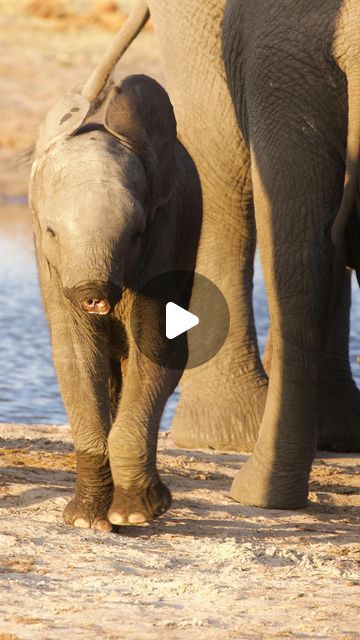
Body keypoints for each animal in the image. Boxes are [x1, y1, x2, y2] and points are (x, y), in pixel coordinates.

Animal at [29, 75, 201, 528]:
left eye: (136, 234)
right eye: (51, 232)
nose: (93, 297)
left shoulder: (165, 236)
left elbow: (158, 350)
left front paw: (135, 516)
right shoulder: (51, 266)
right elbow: (74, 358)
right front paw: (86, 521)